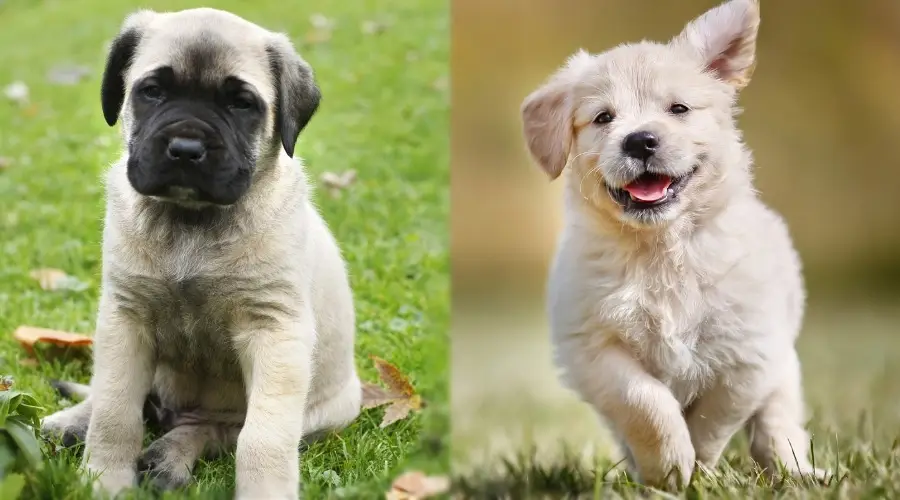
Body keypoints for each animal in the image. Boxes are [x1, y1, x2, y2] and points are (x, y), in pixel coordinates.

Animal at [38, 8, 362, 500]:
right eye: (152, 91)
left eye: (241, 104)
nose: (186, 149)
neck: (192, 222)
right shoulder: (125, 320)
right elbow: (115, 411)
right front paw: (105, 480)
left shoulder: (274, 332)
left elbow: (262, 438)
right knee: (110, 399)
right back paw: (70, 423)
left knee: (211, 429)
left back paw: (168, 458)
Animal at [524, 0, 828, 490]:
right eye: (603, 117)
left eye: (679, 108)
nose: (640, 140)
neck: (661, 249)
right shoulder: (593, 348)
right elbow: (645, 403)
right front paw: (668, 469)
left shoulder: (748, 356)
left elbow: (711, 420)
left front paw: (697, 471)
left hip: (784, 371)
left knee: (777, 428)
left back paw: (799, 472)